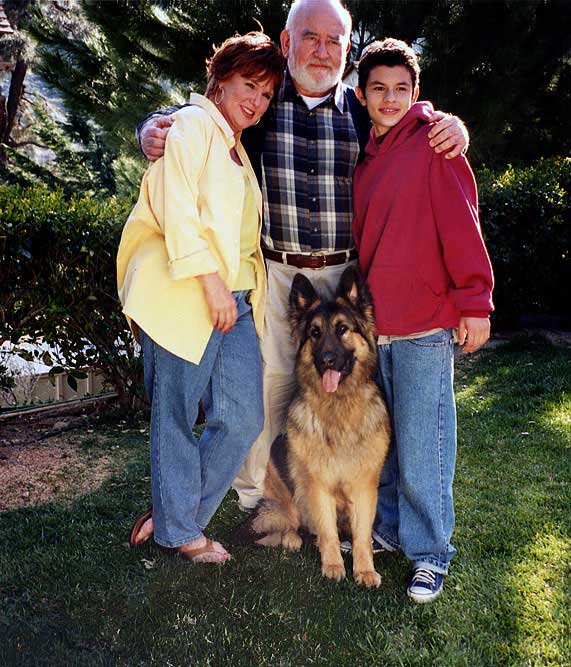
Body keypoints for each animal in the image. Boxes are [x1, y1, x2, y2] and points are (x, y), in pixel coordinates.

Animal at [252, 266, 392, 588]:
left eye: (342, 329)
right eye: (315, 333)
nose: (327, 360)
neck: (338, 407)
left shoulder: (363, 487)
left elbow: (362, 536)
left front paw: (364, 570)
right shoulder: (317, 485)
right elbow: (327, 532)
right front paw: (333, 565)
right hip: (286, 493)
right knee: (289, 522)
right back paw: (292, 537)